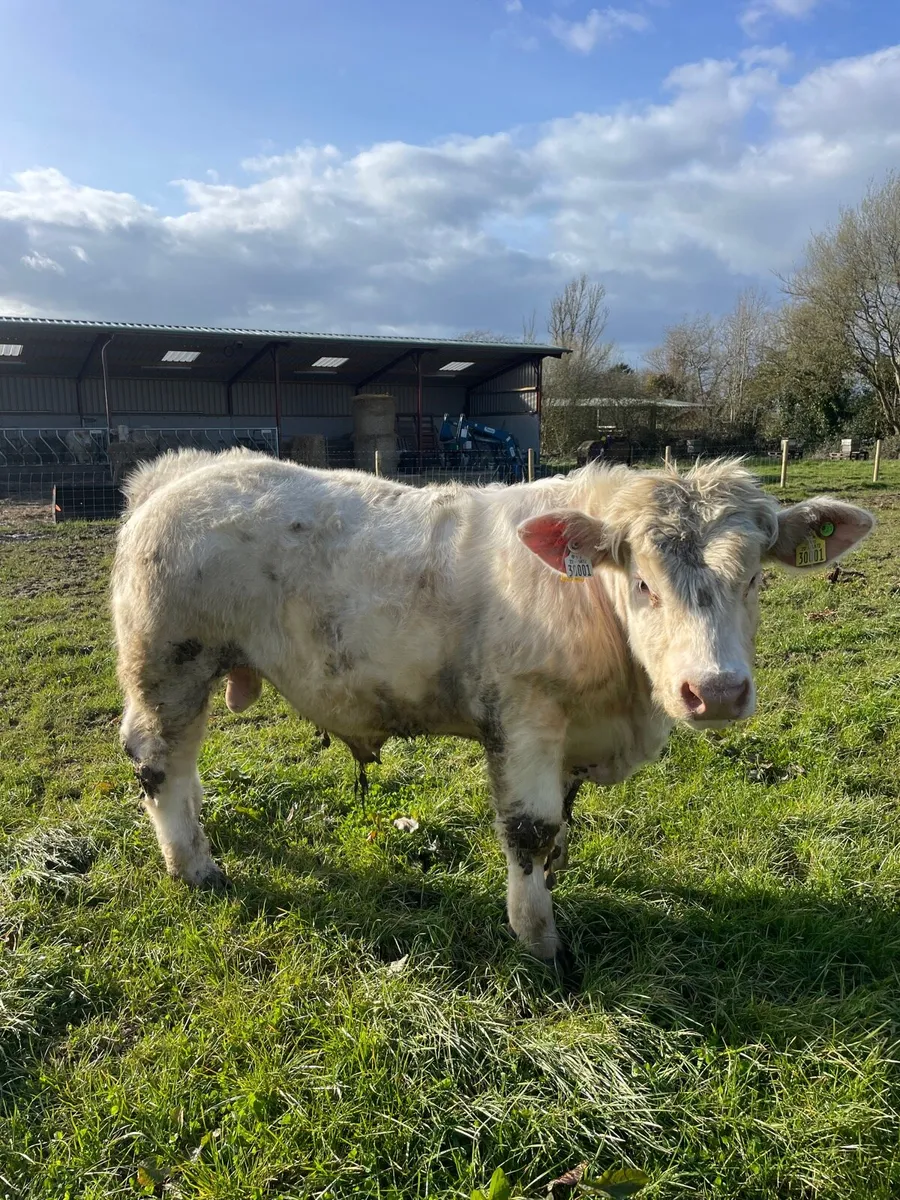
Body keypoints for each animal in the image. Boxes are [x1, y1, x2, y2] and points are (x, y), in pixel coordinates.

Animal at [111, 448, 874, 963]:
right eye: (644, 583)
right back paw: (194, 865)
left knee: (185, 767)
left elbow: (559, 830)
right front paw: (541, 941)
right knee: (158, 761)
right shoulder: (525, 718)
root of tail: (183, 471)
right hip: (168, 663)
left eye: (754, 578)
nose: (714, 691)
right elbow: (530, 830)